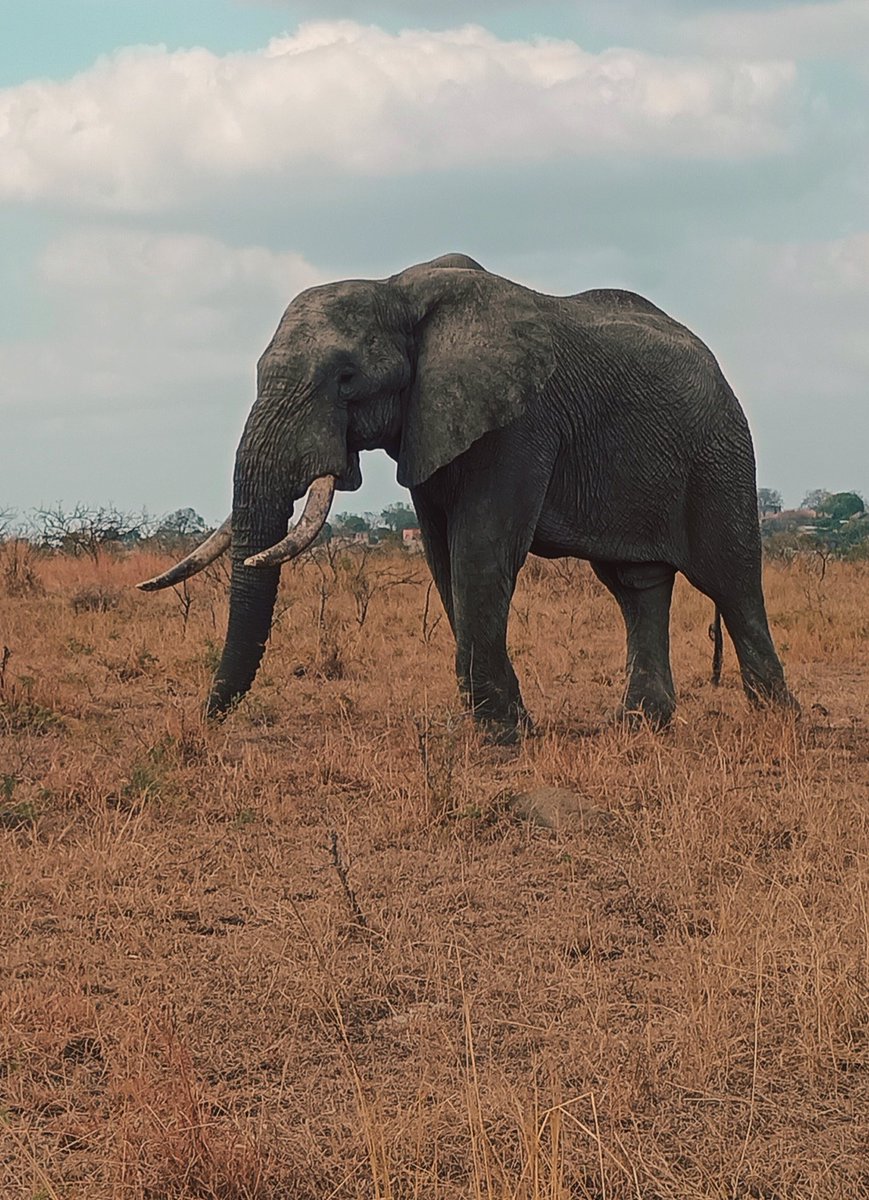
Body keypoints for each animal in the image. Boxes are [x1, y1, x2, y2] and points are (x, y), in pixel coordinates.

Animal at [139, 252, 796, 742]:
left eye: (346, 379)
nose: (204, 722)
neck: (396, 290)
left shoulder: (520, 423)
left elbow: (480, 550)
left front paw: (503, 736)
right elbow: (442, 555)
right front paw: (506, 726)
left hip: (720, 453)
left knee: (732, 580)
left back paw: (779, 721)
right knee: (637, 586)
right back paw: (641, 728)